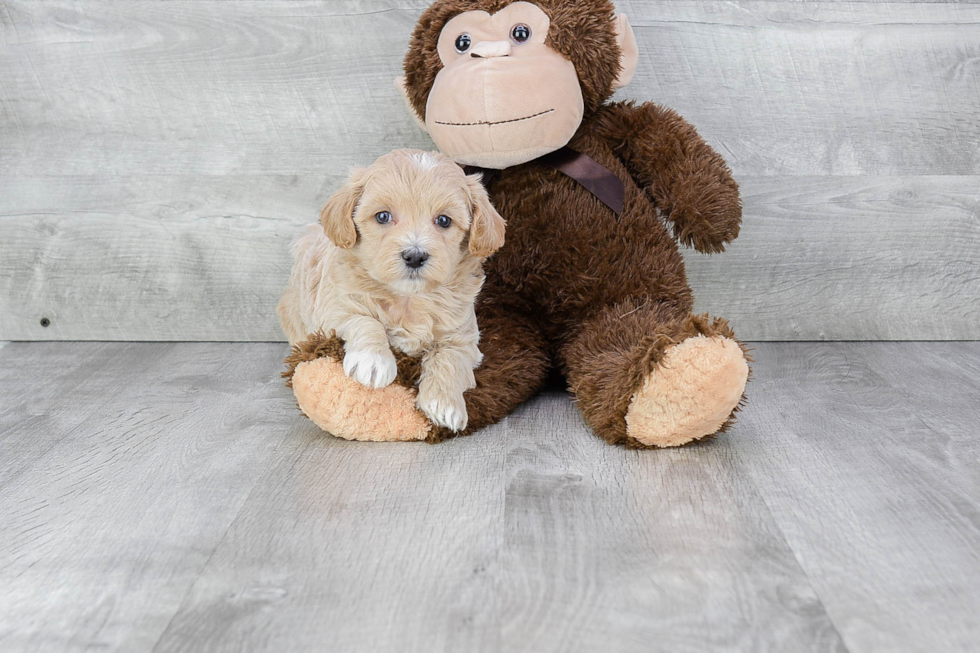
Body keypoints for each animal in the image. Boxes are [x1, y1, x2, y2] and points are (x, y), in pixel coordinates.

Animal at [276, 150, 506, 430]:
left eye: (443, 220)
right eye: (383, 216)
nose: (415, 256)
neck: (407, 298)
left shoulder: (464, 338)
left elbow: (449, 358)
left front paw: (444, 403)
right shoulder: (333, 310)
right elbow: (364, 321)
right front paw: (373, 360)